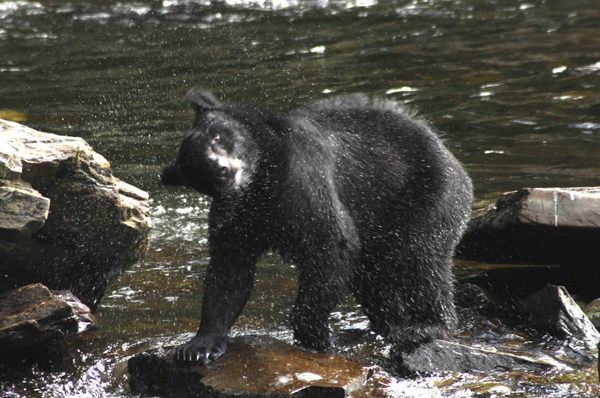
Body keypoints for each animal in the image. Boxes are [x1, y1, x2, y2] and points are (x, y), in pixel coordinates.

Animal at [161, 89, 474, 366]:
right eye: (195, 165)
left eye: (218, 135)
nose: (221, 169)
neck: (262, 184)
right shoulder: (238, 217)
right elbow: (229, 272)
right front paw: (198, 346)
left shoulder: (303, 181)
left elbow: (331, 245)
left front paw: (316, 335)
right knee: (372, 274)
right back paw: (391, 324)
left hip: (425, 195)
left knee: (420, 260)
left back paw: (427, 325)